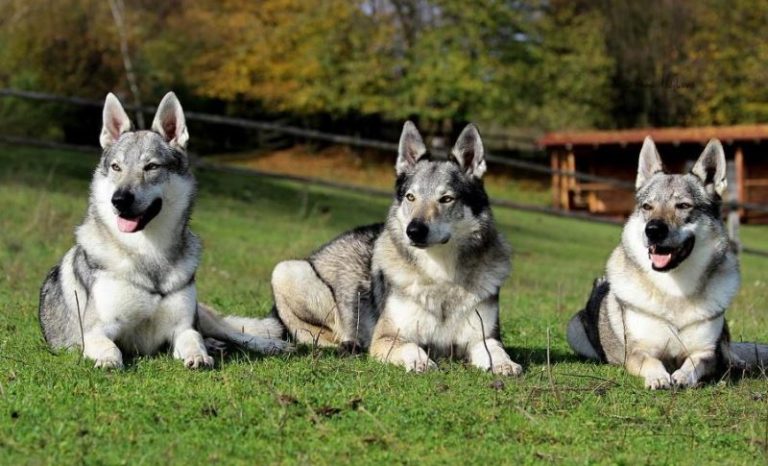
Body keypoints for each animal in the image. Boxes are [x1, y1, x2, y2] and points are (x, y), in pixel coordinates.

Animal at [39, 91, 292, 368]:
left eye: (151, 167)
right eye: (116, 167)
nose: (119, 200)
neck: (148, 252)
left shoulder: (183, 327)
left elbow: (194, 341)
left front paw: (199, 357)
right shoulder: (95, 331)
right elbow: (111, 349)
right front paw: (108, 362)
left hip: (204, 317)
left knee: (235, 332)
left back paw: (269, 345)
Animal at [270, 121, 520, 374]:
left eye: (446, 199)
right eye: (411, 197)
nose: (414, 230)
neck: (441, 275)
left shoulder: (483, 338)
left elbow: (496, 350)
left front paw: (506, 364)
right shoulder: (387, 337)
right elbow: (412, 347)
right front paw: (421, 362)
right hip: (287, 271)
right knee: (320, 336)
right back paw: (348, 345)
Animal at [564, 136, 768, 390]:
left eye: (683, 206)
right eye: (647, 207)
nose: (652, 230)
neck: (675, 290)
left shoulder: (705, 352)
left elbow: (696, 363)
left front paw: (682, 376)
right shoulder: (637, 352)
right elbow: (651, 361)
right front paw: (659, 377)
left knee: (728, 348)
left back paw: (739, 363)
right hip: (573, 330)